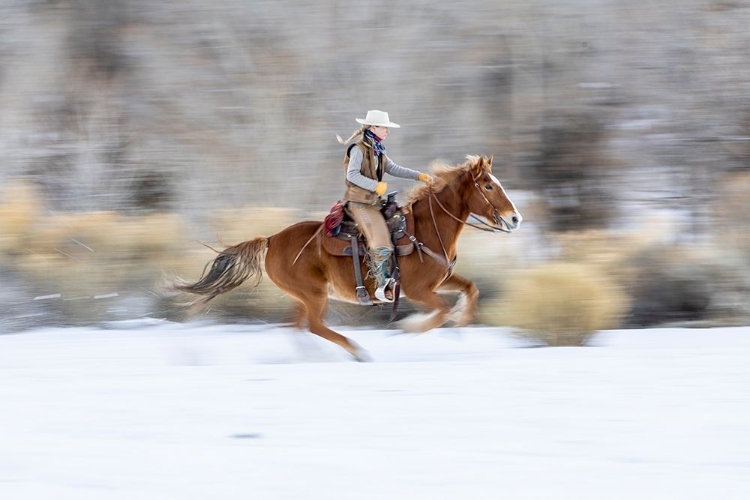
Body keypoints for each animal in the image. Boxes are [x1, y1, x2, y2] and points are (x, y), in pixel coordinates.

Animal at [173, 155, 524, 360]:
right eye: (488, 186)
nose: (515, 218)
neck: (426, 230)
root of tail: (271, 240)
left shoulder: (441, 279)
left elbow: (470, 289)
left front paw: (461, 324)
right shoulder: (417, 291)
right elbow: (441, 311)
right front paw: (410, 327)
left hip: (304, 295)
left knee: (297, 326)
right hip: (314, 295)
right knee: (314, 325)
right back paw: (356, 351)